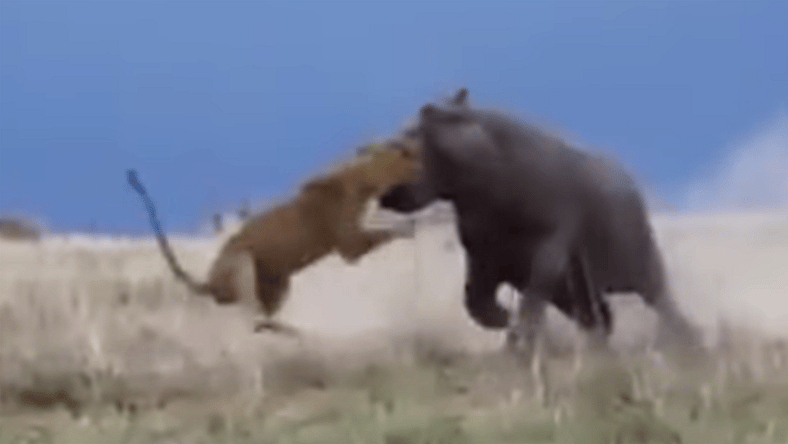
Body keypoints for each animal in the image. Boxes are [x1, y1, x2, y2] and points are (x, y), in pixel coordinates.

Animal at [126, 141, 421, 334]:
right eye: (402, 152)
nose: (417, 155)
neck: (362, 179)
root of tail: (209, 283)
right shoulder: (350, 246)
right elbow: (383, 231)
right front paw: (408, 226)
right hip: (241, 260)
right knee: (250, 315)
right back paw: (289, 332)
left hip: (280, 282)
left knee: (260, 319)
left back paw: (286, 331)